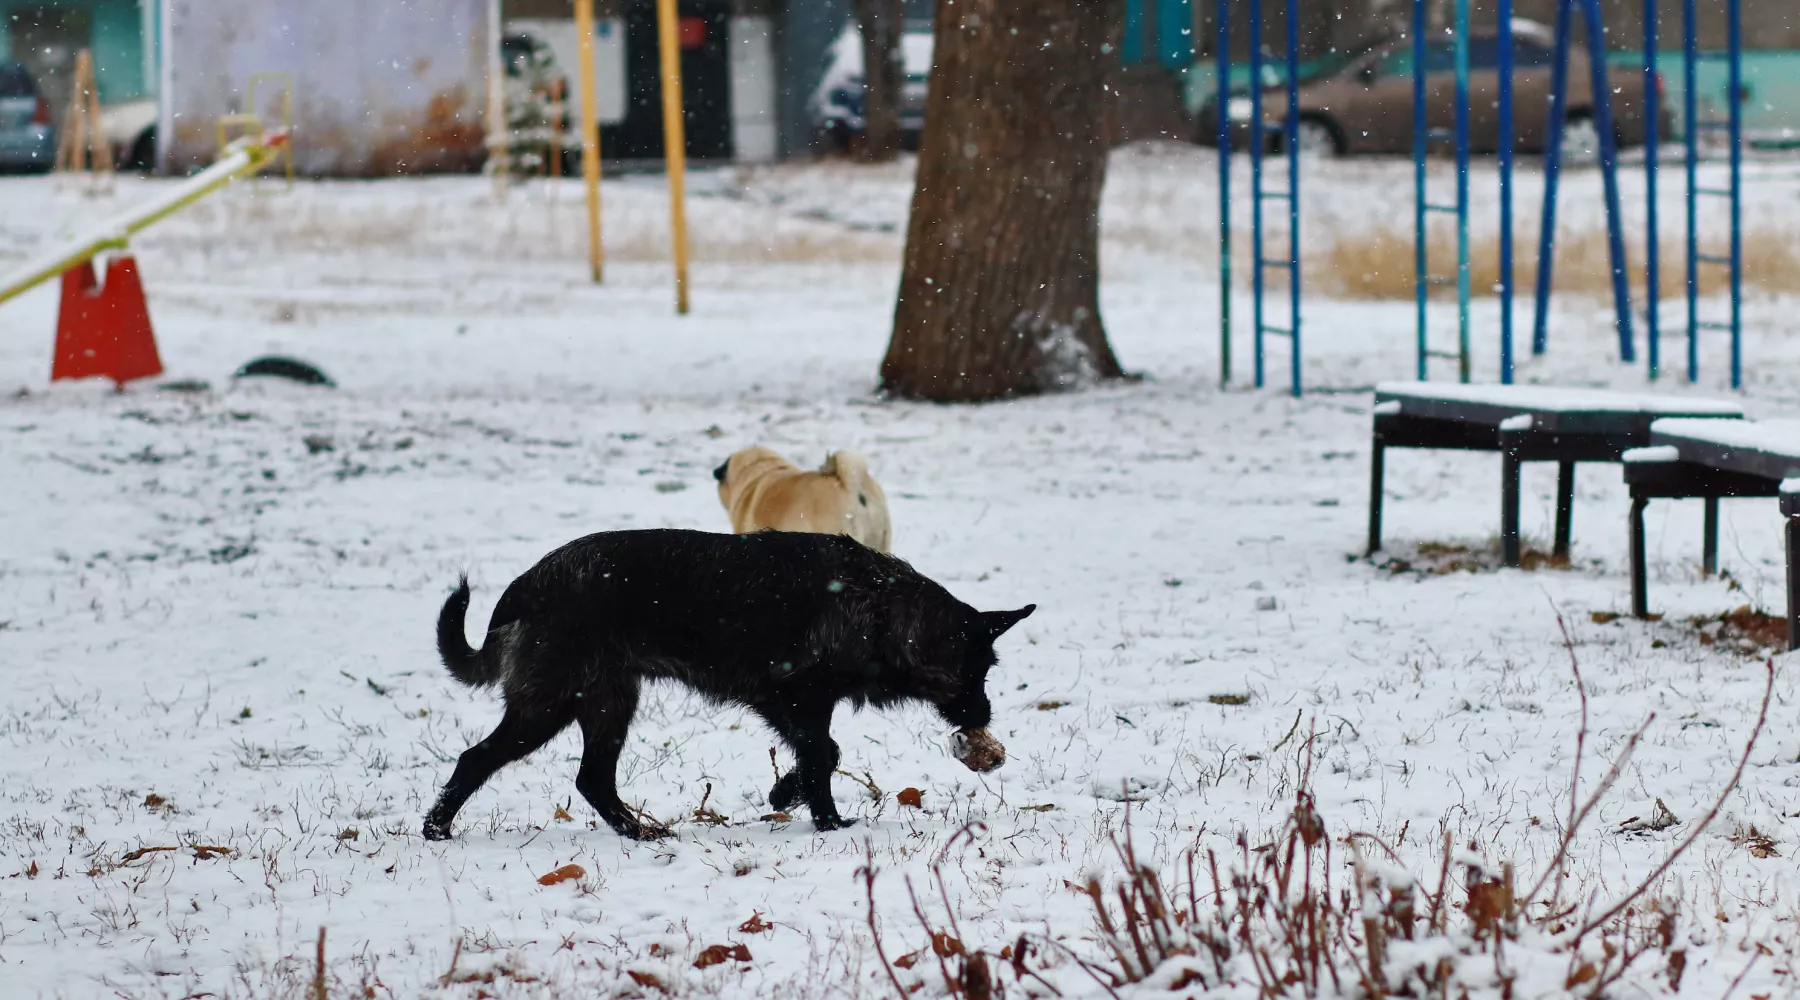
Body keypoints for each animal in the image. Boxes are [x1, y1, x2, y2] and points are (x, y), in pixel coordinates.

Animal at [423, 528, 1036, 838]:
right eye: (979, 670)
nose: (982, 717)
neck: (882, 608)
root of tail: (525, 587)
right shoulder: (791, 698)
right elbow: (825, 755)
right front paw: (826, 821)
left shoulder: (797, 706)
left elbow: (823, 754)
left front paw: (792, 795)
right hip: (550, 707)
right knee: (476, 760)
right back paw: (437, 829)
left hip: (608, 705)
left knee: (592, 779)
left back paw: (636, 831)